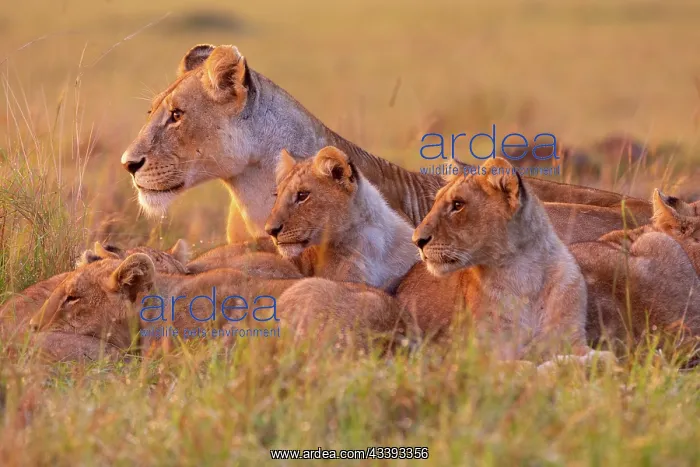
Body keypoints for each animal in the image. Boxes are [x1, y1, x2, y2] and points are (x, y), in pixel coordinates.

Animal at [400, 157, 590, 361]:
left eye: (458, 205)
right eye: (434, 203)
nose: (416, 240)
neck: (524, 274)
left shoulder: (573, 337)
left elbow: (597, 356)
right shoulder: (489, 354)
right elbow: (525, 365)